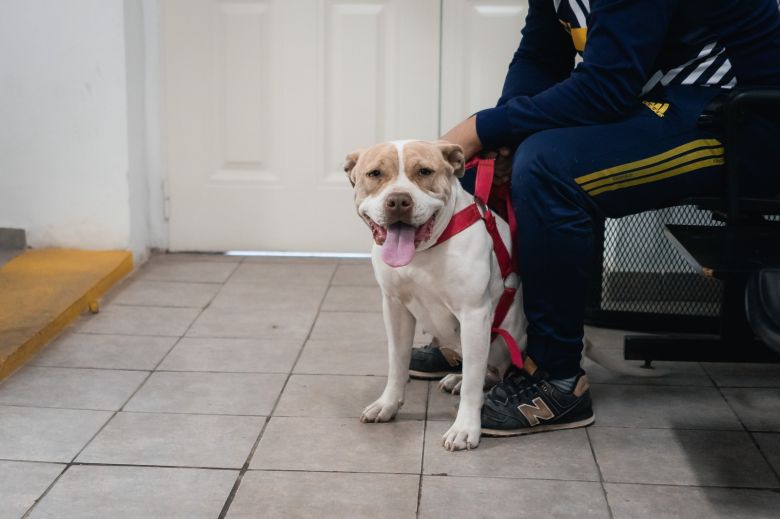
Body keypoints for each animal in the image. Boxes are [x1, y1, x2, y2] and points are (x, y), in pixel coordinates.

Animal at [342, 139, 520, 450]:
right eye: (375, 174)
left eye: (424, 171)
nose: (398, 201)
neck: (422, 253)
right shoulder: (395, 307)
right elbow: (397, 361)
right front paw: (387, 404)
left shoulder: (474, 315)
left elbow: (473, 385)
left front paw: (465, 428)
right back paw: (456, 378)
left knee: (485, 371)